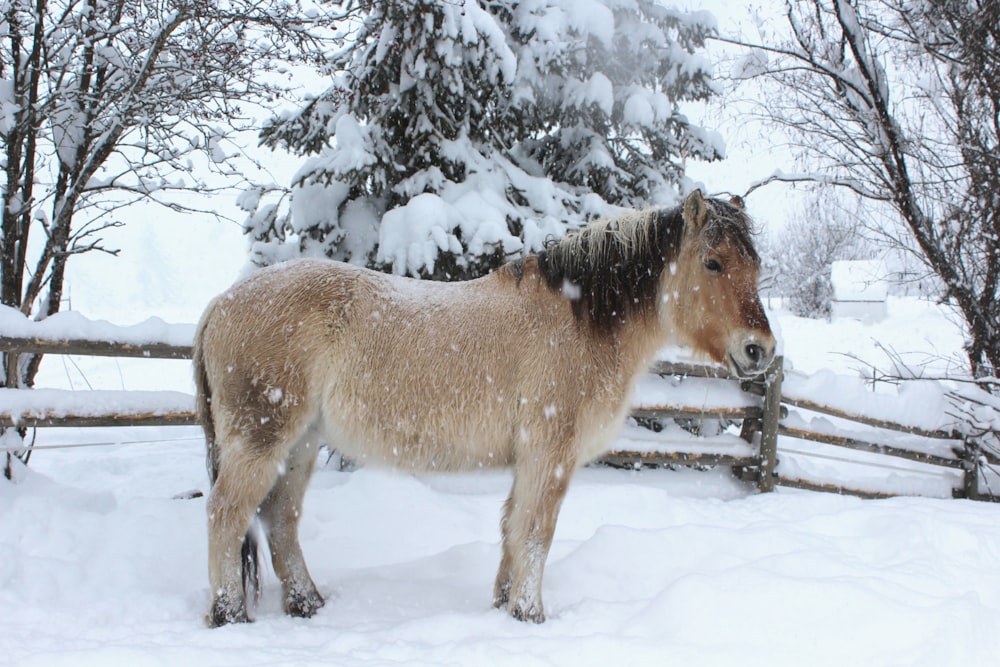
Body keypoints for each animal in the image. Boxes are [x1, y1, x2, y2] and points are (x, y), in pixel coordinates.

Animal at [193, 188, 772, 628]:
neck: (581, 318)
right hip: (262, 440)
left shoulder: (530, 459)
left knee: (280, 518)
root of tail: (221, 304)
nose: (759, 350)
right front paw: (530, 614)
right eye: (713, 262)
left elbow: (512, 529)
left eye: (756, 266)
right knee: (227, 514)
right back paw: (230, 615)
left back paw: (306, 603)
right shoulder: (550, 454)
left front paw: (503, 604)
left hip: (301, 443)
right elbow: (535, 533)